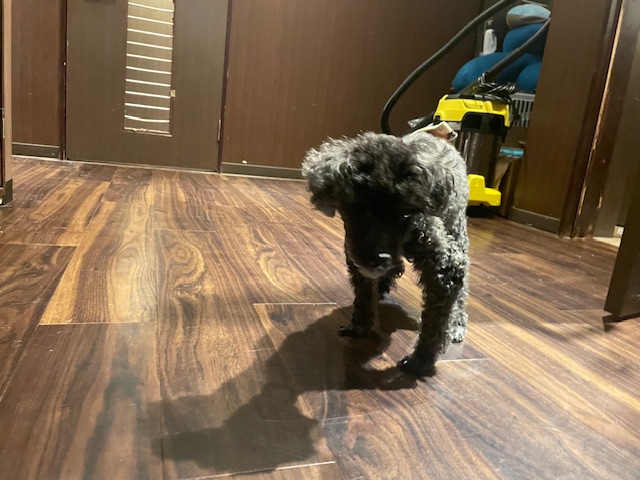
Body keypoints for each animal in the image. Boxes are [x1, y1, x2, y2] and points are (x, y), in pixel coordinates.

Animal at [302, 130, 469, 377]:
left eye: (405, 213)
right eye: (356, 209)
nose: (377, 259)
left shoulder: (445, 268)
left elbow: (434, 324)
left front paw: (421, 360)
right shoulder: (357, 261)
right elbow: (363, 296)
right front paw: (359, 325)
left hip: (457, 230)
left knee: (461, 293)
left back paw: (456, 322)